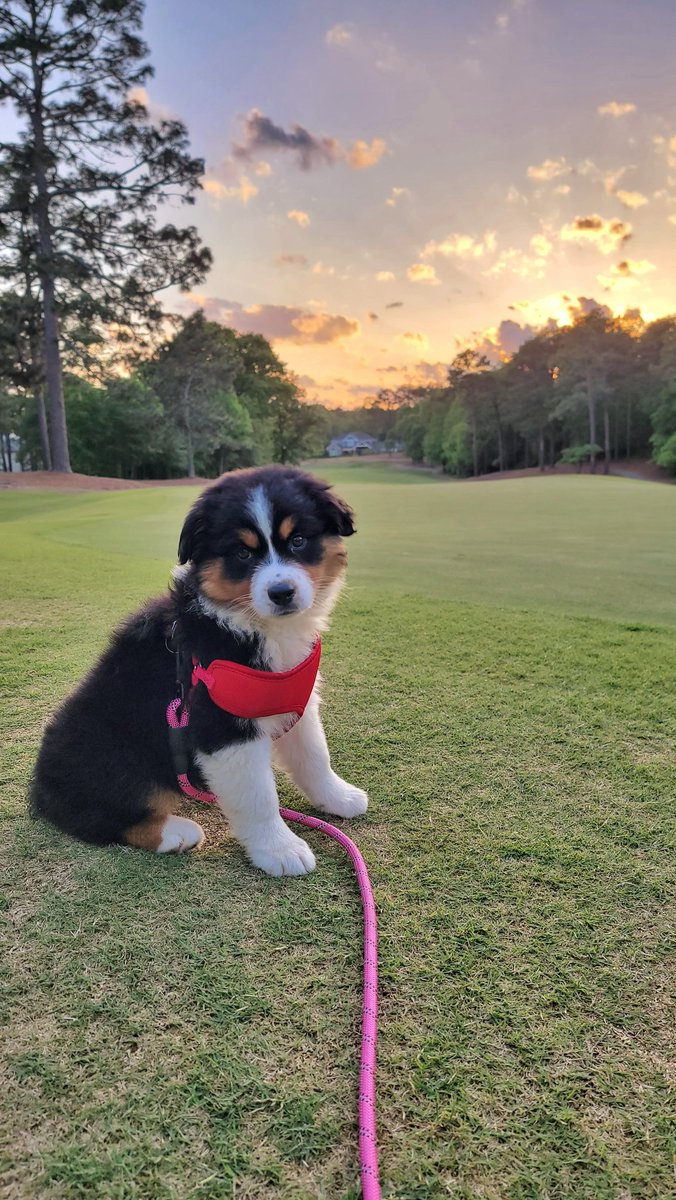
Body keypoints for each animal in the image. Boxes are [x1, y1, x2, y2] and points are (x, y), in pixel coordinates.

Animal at [30, 465, 369, 873]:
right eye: (242, 552)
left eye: (299, 540)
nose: (282, 592)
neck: (253, 625)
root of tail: (40, 790)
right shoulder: (222, 726)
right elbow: (258, 796)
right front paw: (280, 850)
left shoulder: (294, 698)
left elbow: (315, 755)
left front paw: (338, 797)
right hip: (109, 752)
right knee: (101, 817)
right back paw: (176, 833)